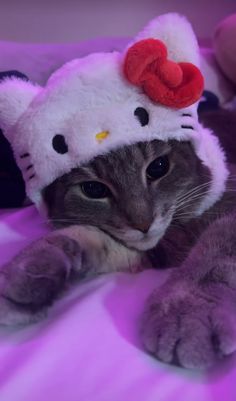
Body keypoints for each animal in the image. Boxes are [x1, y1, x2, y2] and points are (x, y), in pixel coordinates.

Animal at [1, 107, 236, 368]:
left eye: (158, 167)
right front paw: (33, 268)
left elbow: (214, 253)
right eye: (93, 189)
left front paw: (187, 310)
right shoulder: (150, 248)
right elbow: (85, 236)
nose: (143, 224)